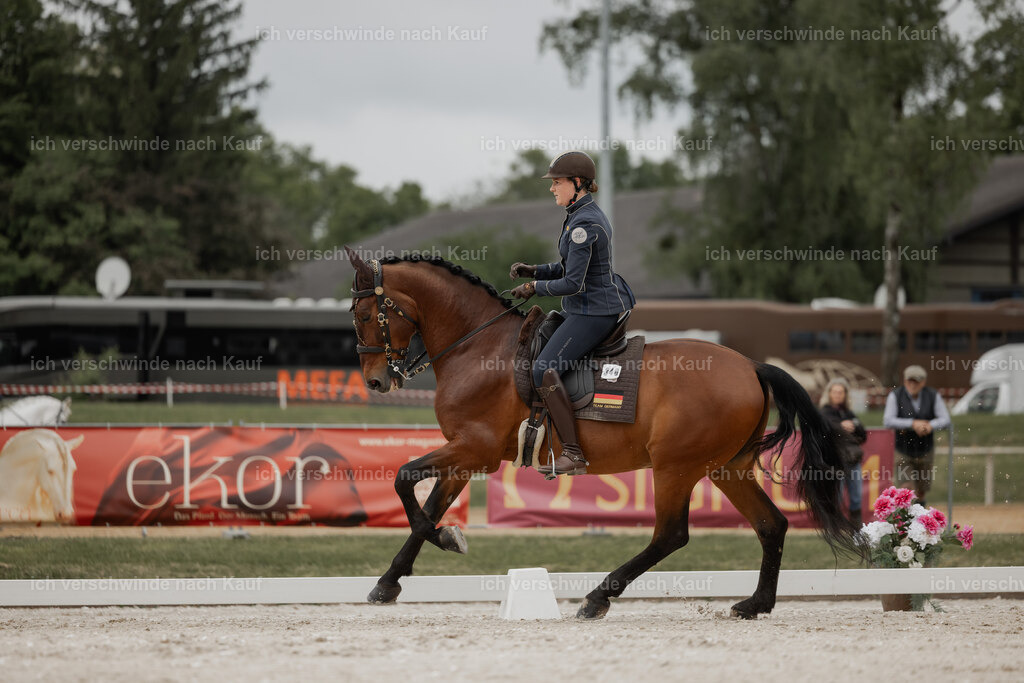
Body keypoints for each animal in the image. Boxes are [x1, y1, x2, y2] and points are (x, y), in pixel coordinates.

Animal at [344, 247, 861, 619]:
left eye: (366, 315)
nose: (375, 382)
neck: (477, 345)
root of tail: (751, 366)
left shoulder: (474, 449)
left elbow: (405, 481)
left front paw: (448, 540)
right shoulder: (464, 455)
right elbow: (425, 505)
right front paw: (391, 580)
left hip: (676, 467)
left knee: (670, 535)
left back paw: (598, 597)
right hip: (726, 469)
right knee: (771, 525)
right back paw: (756, 604)